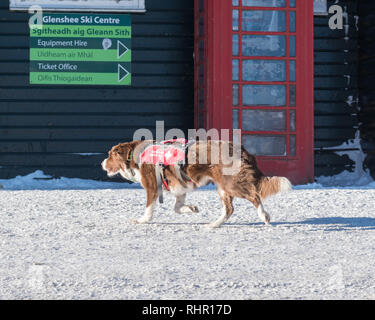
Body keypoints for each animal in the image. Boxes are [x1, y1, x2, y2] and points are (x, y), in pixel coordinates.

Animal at [103, 140, 294, 228]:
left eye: (110, 155)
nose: (101, 163)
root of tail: (240, 149)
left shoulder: (152, 186)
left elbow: (149, 208)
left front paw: (142, 220)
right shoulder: (179, 188)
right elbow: (177, 208)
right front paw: (191, 209)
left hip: (230, 183)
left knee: (254, 196)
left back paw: (264, 215)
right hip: (222, 187)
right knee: (229, 209)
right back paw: (214, 224)